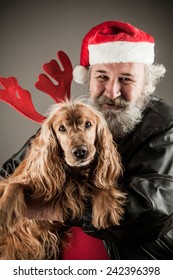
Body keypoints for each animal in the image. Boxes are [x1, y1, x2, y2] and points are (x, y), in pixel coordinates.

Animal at [0, 99, 125, 260]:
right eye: (61, 128)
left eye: (88, 124)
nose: (80, 151)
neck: (75, 173)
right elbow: (14, 184)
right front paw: (5, 211)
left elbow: (100, 183)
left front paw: (106, 207)